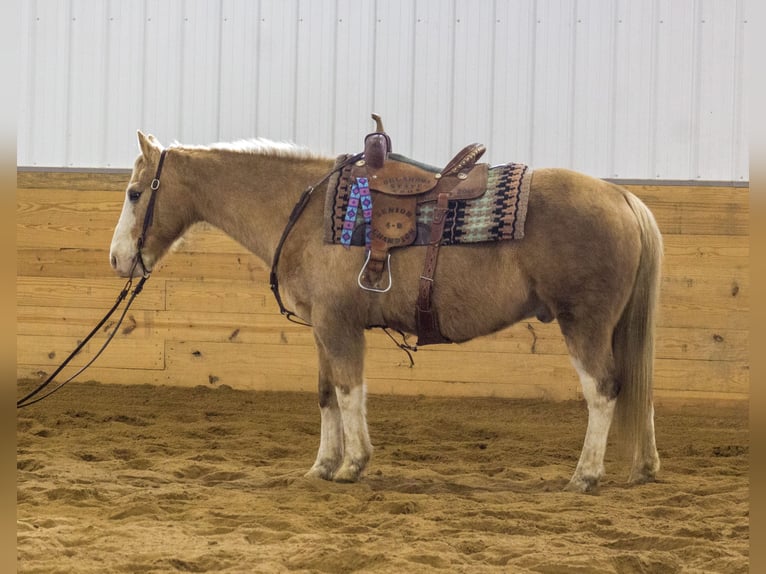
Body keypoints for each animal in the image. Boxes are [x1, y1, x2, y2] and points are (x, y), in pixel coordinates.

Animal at [111, 132, 664, 496]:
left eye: (136, 192)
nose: (118, 259)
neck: (307, 214)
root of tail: (622, 197)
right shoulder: (321, 329)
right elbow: (326, 394)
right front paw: (322, 466)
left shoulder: (339, 326)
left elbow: (349, 390)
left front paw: (353, 464)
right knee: (636, 386)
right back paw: (643, 467)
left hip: (584, 324)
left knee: (604, 389)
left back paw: (585, 476)